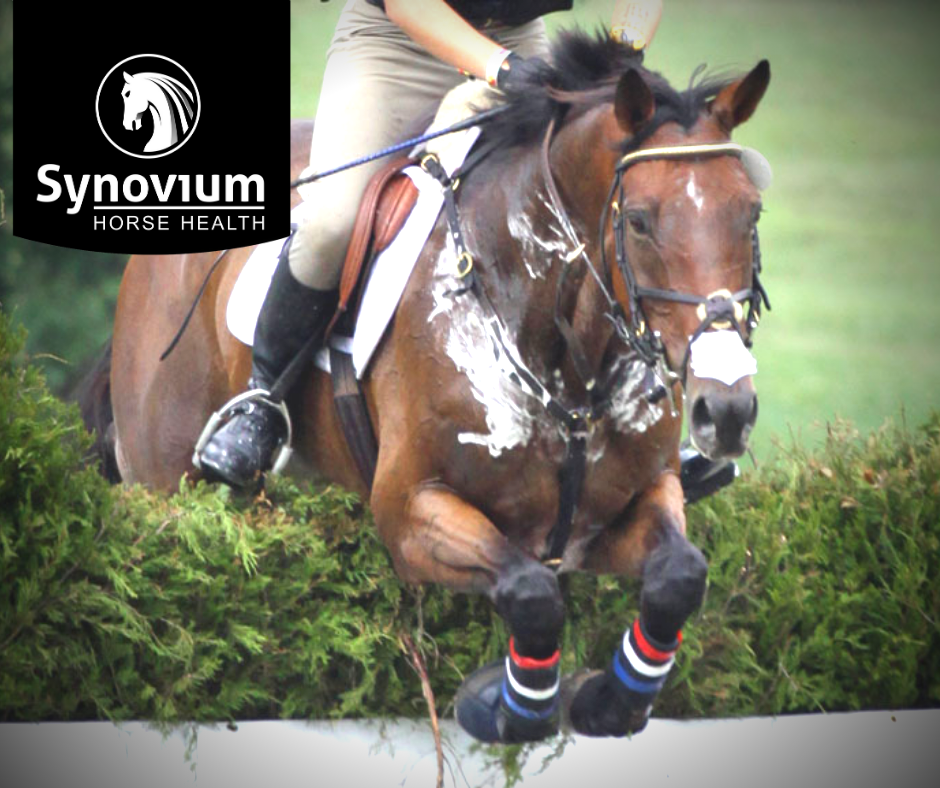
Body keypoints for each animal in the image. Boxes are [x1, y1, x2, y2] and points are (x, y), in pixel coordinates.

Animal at [91, 32, 770, 741]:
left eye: (751, 213)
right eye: (638, 220)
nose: (726, 412)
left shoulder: (625, 506)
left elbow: (679, 575)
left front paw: (611, 702)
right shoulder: (412, 510)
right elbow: (532, 593)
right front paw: (511, 708)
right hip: (163, 477)